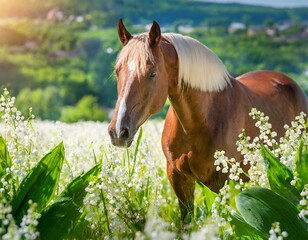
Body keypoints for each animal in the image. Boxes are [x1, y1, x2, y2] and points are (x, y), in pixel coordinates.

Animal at [108, 19, 308, 223]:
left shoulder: (222, 182)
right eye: (117, 71)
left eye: (152, 73)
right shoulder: (179, 178)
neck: (199, 122)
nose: (118, 131)